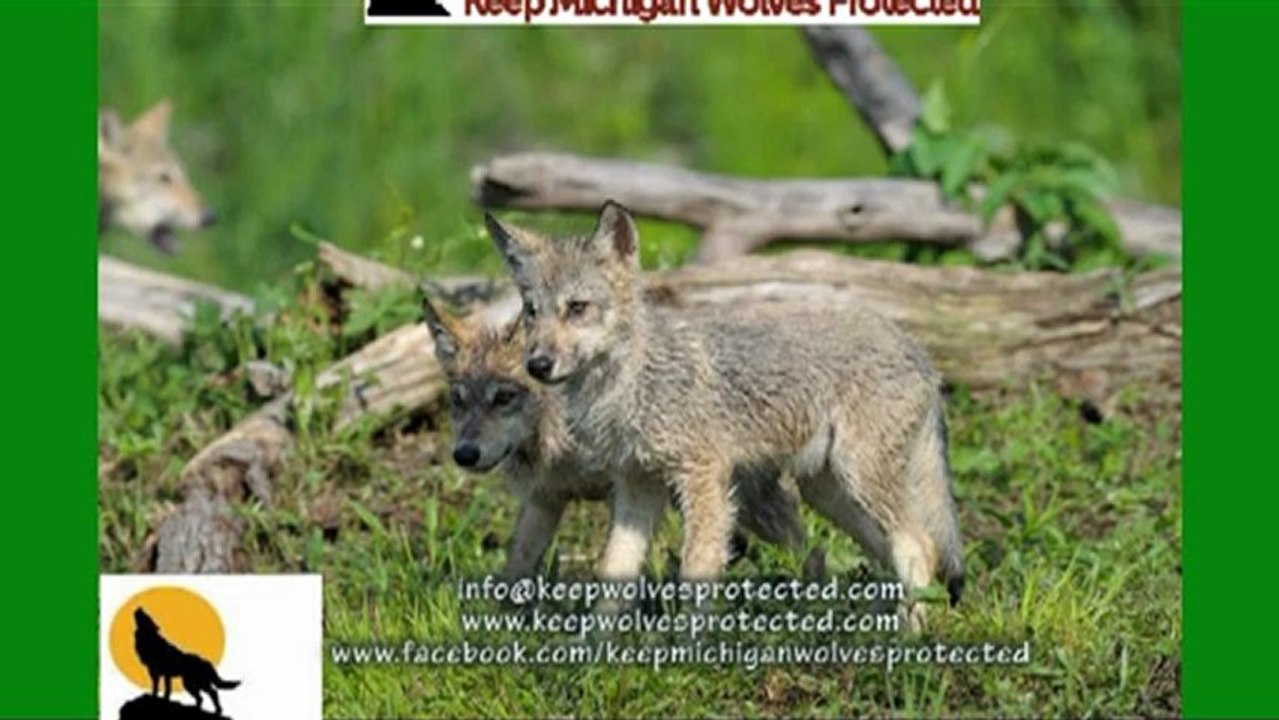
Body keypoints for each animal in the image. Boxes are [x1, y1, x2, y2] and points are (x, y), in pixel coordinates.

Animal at [421, 296, 804, 580]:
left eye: (503, 397)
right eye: (458, 401)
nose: (464, 454)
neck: (553, 437)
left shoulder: (619, 487)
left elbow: (613, 564)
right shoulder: (546, 499)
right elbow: (517, 563)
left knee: (793, 536)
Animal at [488, 201, 965, 625]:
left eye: (577, 308)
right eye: (532, 311)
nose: (537, 365)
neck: (627, 387)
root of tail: (913, 345)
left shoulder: (702, 476)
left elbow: (696, 568)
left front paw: (689, 650)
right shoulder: (636, 486)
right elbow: (613, 573)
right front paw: (593, 651)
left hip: (857, 480)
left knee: (920, 546)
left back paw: (908, 641)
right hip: (831, 493)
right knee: (890, 555)